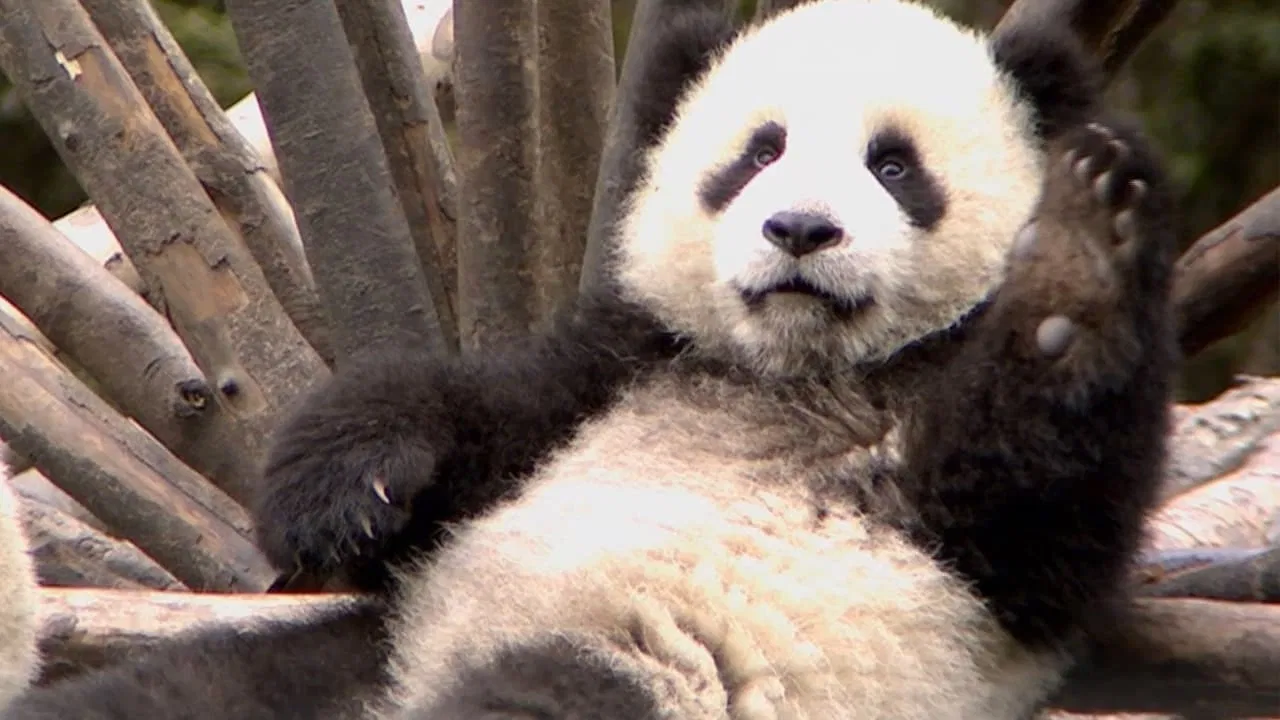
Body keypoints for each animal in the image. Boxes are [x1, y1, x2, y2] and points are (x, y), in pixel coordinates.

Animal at [2, 0, 1179, 717]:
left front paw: (1077, 269)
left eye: (893, 167)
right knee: (187, 691)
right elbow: (474, 412)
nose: (799, 230)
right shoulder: (628, 363)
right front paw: (342, 493)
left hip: (643, 671)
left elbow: (1032, 512)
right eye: (757, 152)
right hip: (363, 645)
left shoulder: (973, 540)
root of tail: (406, 690)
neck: (803, 370)